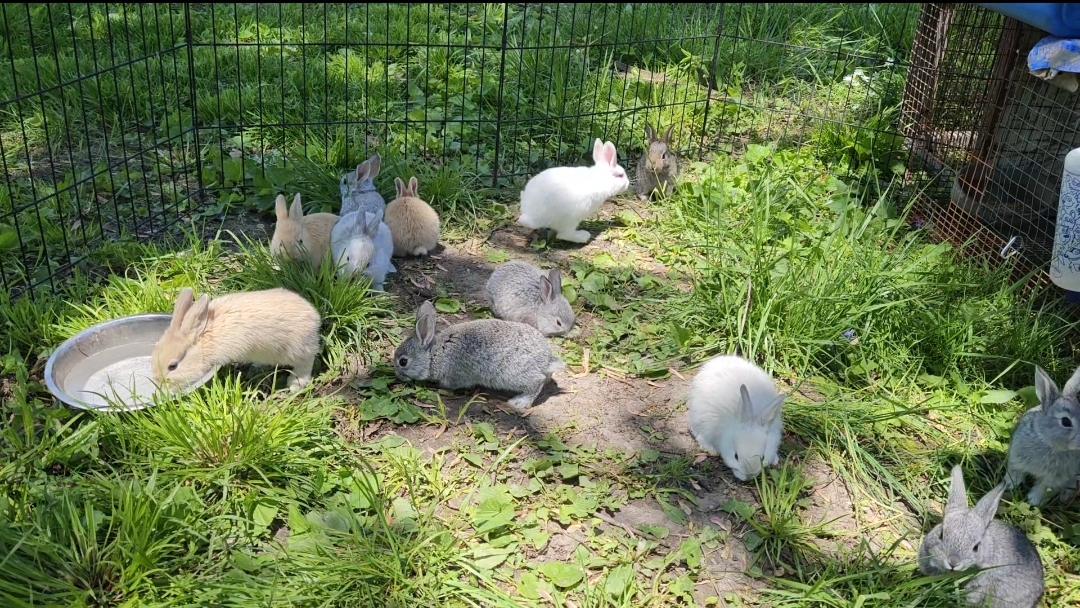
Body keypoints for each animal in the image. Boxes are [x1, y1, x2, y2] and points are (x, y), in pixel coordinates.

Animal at [151, 287, 322, 393]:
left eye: (173, 366)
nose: (160, 384)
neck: (204, 340)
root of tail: (314, 317)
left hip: (294, 351)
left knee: (306, 362)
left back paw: (295, 384)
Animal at [393, 300, 565, 410]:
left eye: (403, 362)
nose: (397, 374)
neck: (433, 353)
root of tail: (546, 360)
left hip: (514, 374)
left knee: (537, 381)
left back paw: (519, 402)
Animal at [1003, 364, 1080, 505]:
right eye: (1066, 421)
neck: (1050, 444)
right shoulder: (1015, 459)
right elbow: (1015, 472)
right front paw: (1010, 484)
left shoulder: (1056, 478)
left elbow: (1044, 489)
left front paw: (1033, 501)